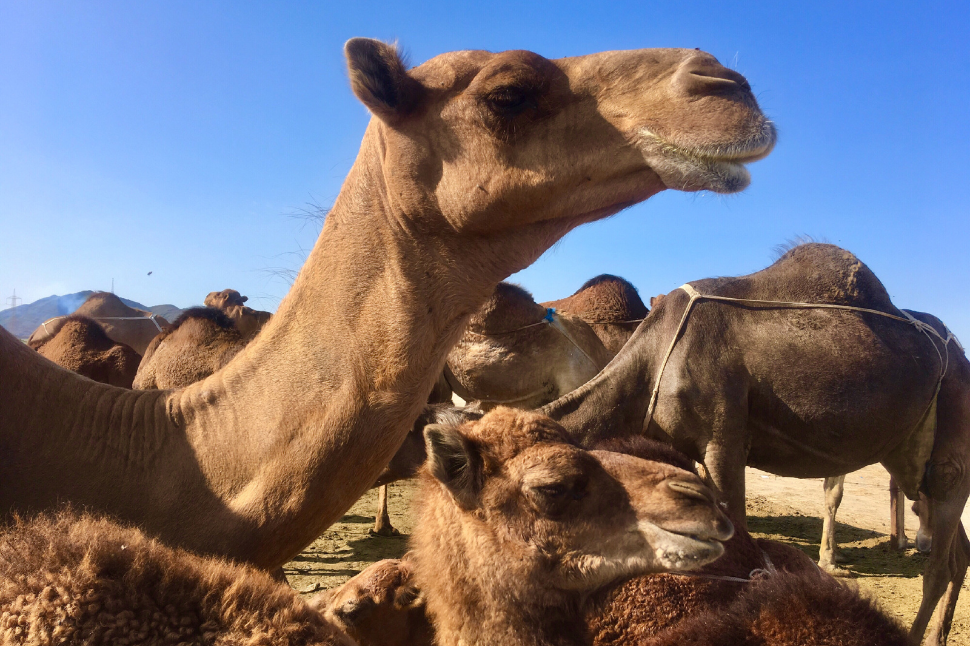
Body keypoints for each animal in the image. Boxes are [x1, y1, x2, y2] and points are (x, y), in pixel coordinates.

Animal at [539, 243, 970, 644]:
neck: (649, 362)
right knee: (957, 549)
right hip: (911, 455)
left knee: (939, 562)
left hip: (953, 432)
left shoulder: (723, 439)